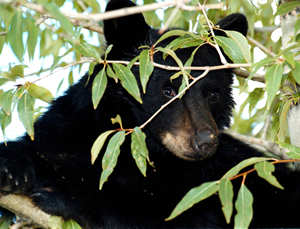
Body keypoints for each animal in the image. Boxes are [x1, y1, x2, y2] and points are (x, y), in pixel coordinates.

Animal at [0, 0, 300, 228]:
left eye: (213, 94)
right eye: (168, 90)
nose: (206, 142)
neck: (142, 152)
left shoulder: (212, 179)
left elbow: (170, 215)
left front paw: (64, 192)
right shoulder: (71, 131)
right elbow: (43, 146)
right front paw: (12, 167)